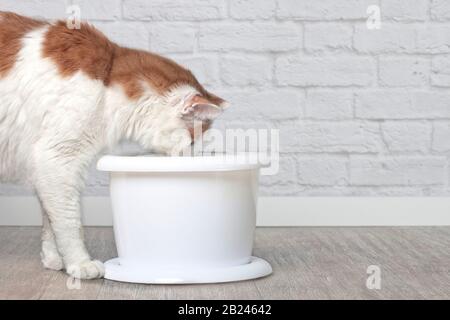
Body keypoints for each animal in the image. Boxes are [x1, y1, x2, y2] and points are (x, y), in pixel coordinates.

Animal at [0, 11, 227, 278]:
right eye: (192, 142)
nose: (194, 156)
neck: (106, 79)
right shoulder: (57, 159)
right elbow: (69, 221)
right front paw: (79, 264)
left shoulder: (47, 166)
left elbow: (49, 219)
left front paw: (53, 258)